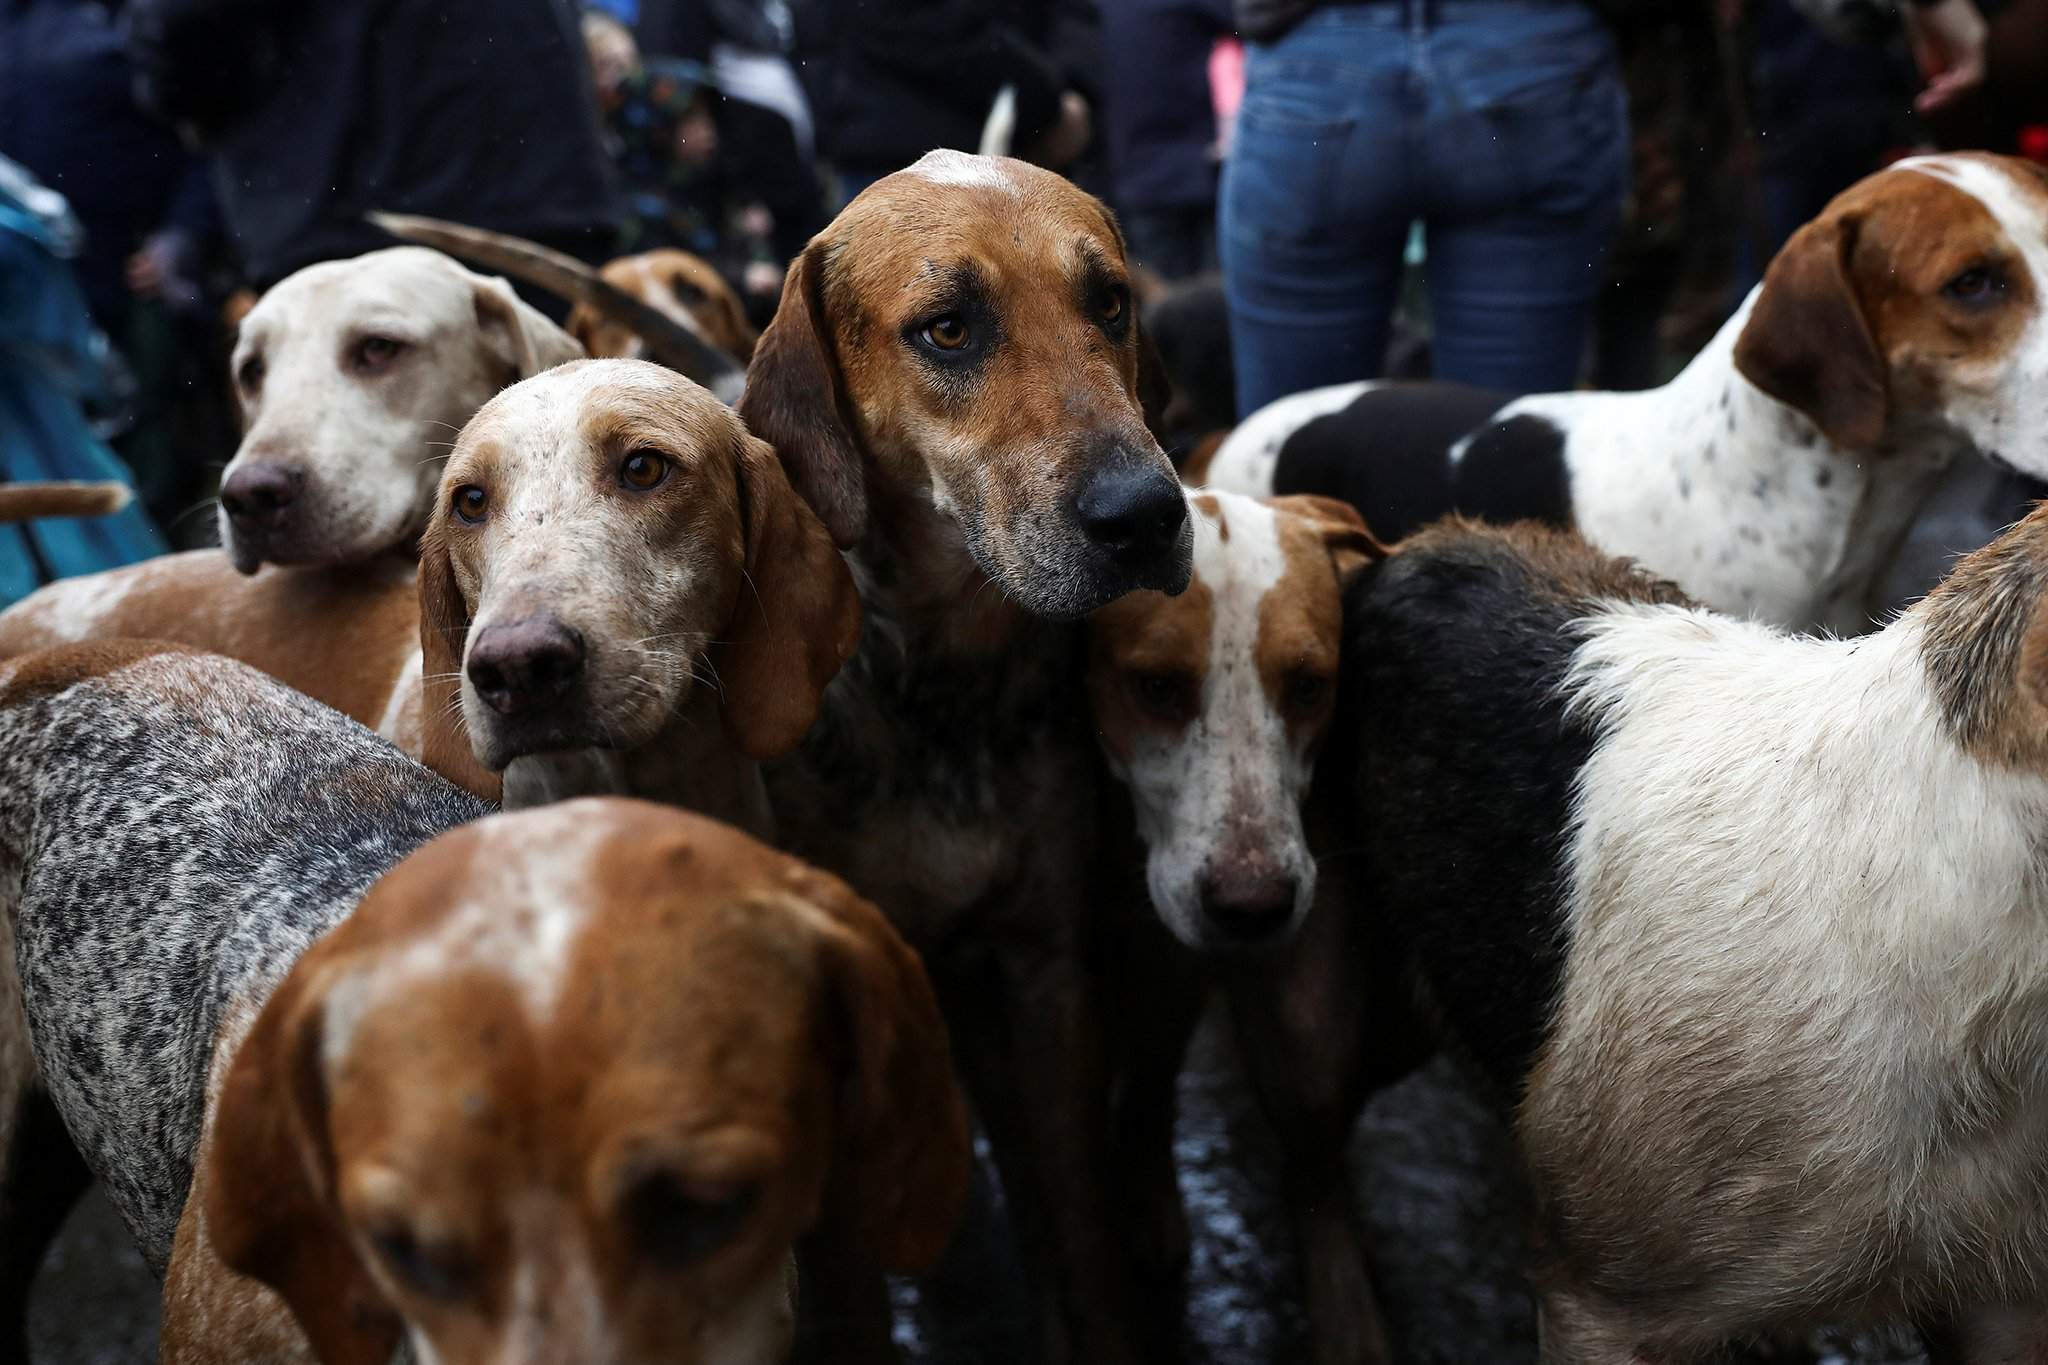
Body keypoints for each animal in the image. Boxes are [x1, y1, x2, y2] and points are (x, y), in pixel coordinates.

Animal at [737, 152, 1187, 1365]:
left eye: (1110, 302)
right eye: (947, 329)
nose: (1146, 515)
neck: (940, 680)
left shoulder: (1045, 971)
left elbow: (1078, 1215)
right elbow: (847, 1290)